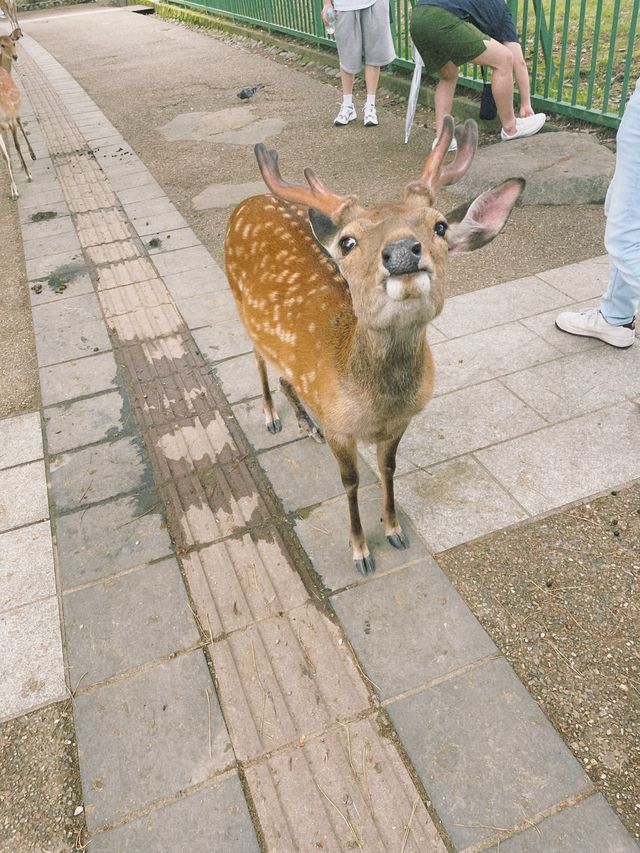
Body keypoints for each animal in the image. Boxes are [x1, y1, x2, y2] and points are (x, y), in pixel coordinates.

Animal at [226, 116, 524, 572]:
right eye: (348, 242)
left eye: (439, 226)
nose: (402, 251)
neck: (374, 406)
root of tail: (247, 202)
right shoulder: (339, 427)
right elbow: (350, 482)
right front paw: (361, 550)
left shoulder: (400, 423)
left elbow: (389, 468)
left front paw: (395, 530)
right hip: (238, 302)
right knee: (257, 357)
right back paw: (272, 416)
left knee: (283, 370)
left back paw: (303, 422)